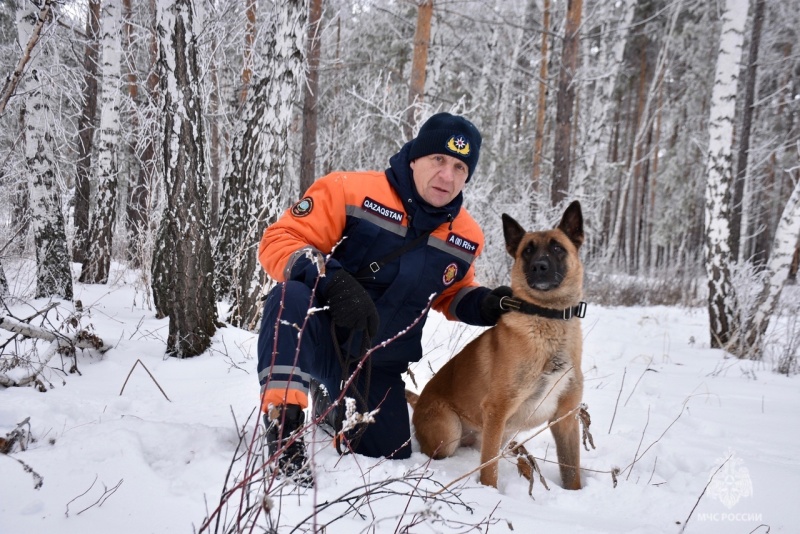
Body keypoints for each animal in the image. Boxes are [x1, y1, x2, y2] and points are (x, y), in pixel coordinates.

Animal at [410, 203, 584, 492]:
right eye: (527, 250)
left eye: (557, 247)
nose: (539, 266)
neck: (547, 319)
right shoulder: (497, 409)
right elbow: (489, 470)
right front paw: (490, 493)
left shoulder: (565, 419)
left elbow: (572, 475)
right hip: (452, 433)